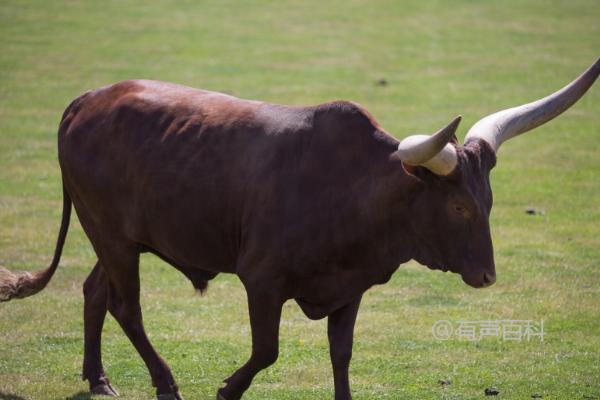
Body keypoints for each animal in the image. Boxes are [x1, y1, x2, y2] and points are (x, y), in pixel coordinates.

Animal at [0, 59, 596, 400]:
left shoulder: (350, 289)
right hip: (112, 235)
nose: (488, 276)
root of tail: (89, 98)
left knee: (94, 292)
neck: (352, 191)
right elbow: (267, 351)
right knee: (126, 306)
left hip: (119, 236)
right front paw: (226, 389)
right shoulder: (261, 281)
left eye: (487, 202)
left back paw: (99, 379)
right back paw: (165, 383)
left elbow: (341, 355)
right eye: (457, 208)